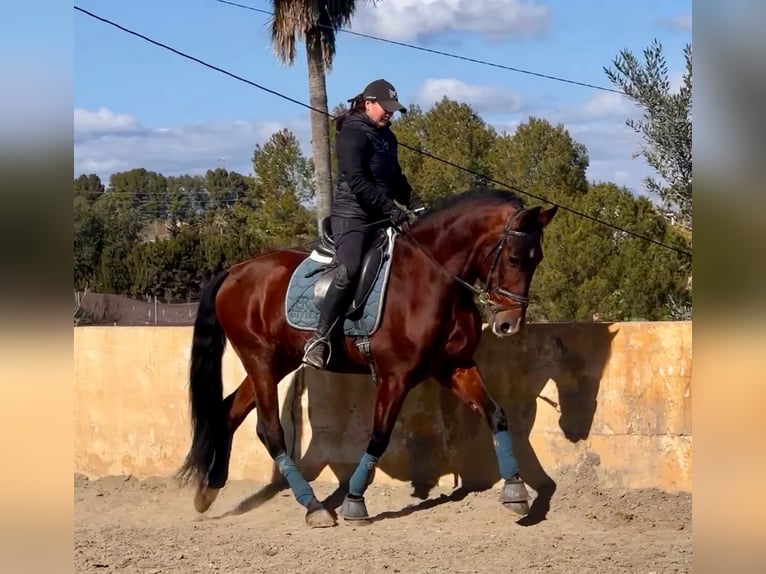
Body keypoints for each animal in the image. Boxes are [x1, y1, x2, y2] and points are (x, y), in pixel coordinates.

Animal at [176, 187, 560, 528]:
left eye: (538, 259)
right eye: (513, 259)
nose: (509, 324)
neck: (431, 279)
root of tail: (235, 270)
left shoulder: (455, 366)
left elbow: (496, 415)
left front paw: (516, 491)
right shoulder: (396, 376)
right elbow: (379, 436)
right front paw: (354, 502)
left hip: (277, 362)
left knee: (229, 412)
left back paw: (208, 492)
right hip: (260, 361)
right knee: (269, 431)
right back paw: (314, 507)